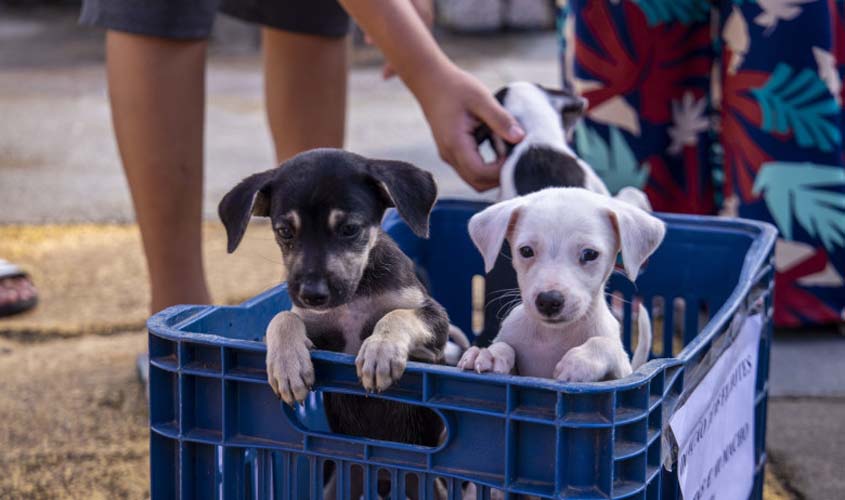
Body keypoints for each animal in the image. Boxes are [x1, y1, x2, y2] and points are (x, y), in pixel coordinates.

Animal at [221, 148, 452, 450]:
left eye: (350, 229)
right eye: (285, 232)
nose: (312, 295)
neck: (352, 300)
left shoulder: (435, 325)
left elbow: (397, 315)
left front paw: (380, 350)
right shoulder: (317, 327)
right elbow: (283, 317)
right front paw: (287, 365)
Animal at [458, 189, 664, 380]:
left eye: (590, 254)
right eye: (526, 251)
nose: (549, 301)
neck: (553, 335)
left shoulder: (622, 376)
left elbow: (604, 344)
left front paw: (580, 362)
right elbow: (504, 345)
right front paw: (488, 354)